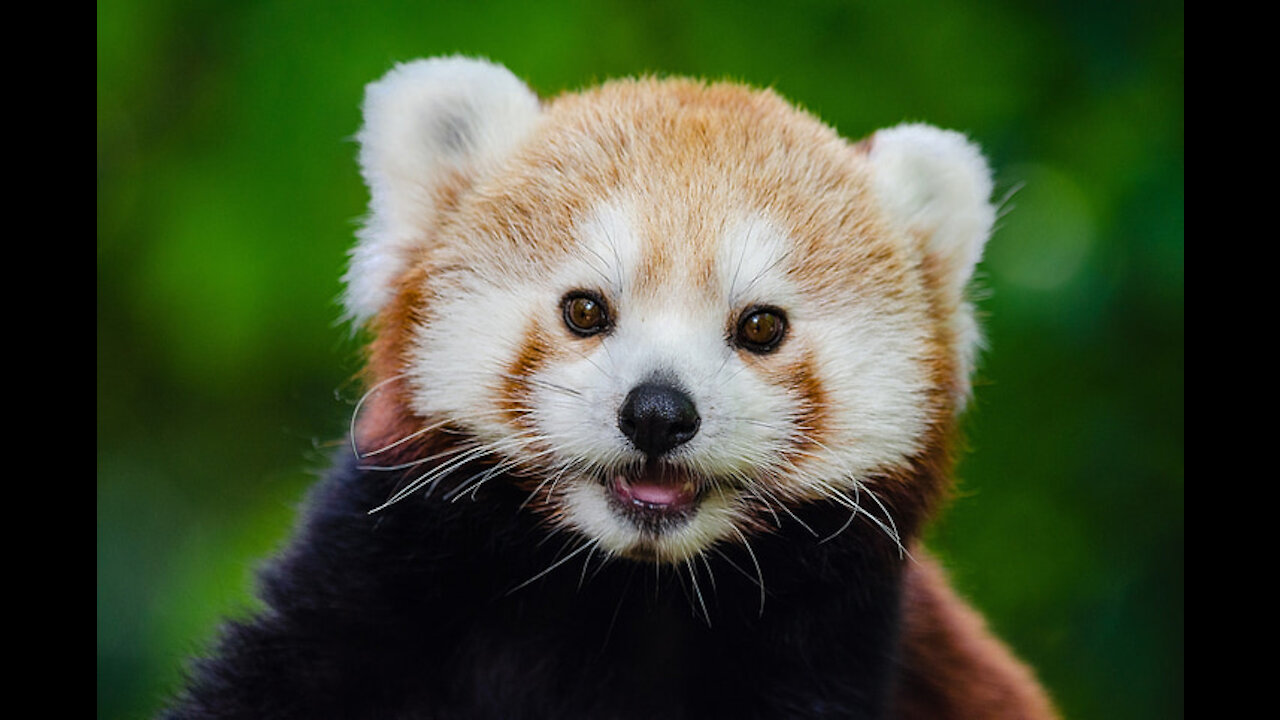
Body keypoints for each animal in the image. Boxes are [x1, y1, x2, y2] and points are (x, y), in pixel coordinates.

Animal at [160, 56, 1059, 717]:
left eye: (761, 327)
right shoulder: (371, 571)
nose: (658, 413)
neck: (618, 587)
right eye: (585, 309)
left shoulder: (830, 646)